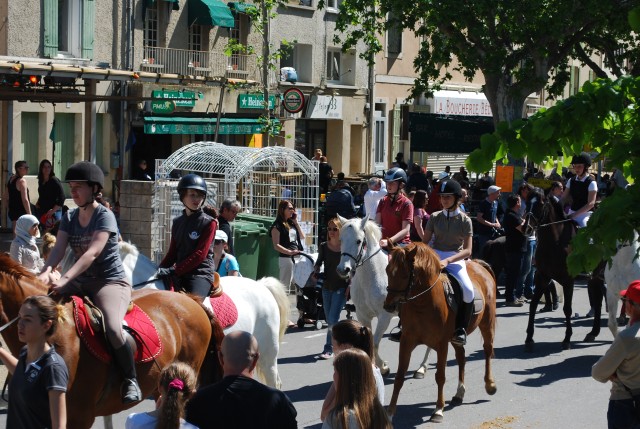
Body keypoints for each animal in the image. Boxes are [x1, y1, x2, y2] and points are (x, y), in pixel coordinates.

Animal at [336, 216, 436, 376]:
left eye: (358, 241)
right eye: (341, 239)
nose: (342, 269)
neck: (371, 276)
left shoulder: (384, 316)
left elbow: (375, 343)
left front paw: (383, 367)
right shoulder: (363, 315)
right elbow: (368, 340)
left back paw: (422, 367)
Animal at [382, 241, 498, 422]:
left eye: (404, 274)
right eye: (387, 270)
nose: (389, 306)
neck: (423, 304)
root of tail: (478, 264)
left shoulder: (442, 344)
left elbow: (440, 376)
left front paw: (438, 410)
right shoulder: (406, 341)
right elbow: (399, 376)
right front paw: (389, 413)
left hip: (486, 323)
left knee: (487, 350)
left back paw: (490, 384)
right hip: (455, 338)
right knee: (461, 357)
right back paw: (459, 393)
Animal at [524, 194, 576, 352]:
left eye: (541, 204)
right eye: (527, 202)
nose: (526, 227)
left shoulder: (568, 281)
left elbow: (567, 309)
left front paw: (567, 339)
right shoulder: (542, 277)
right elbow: (533, 305)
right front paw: (529, 338)